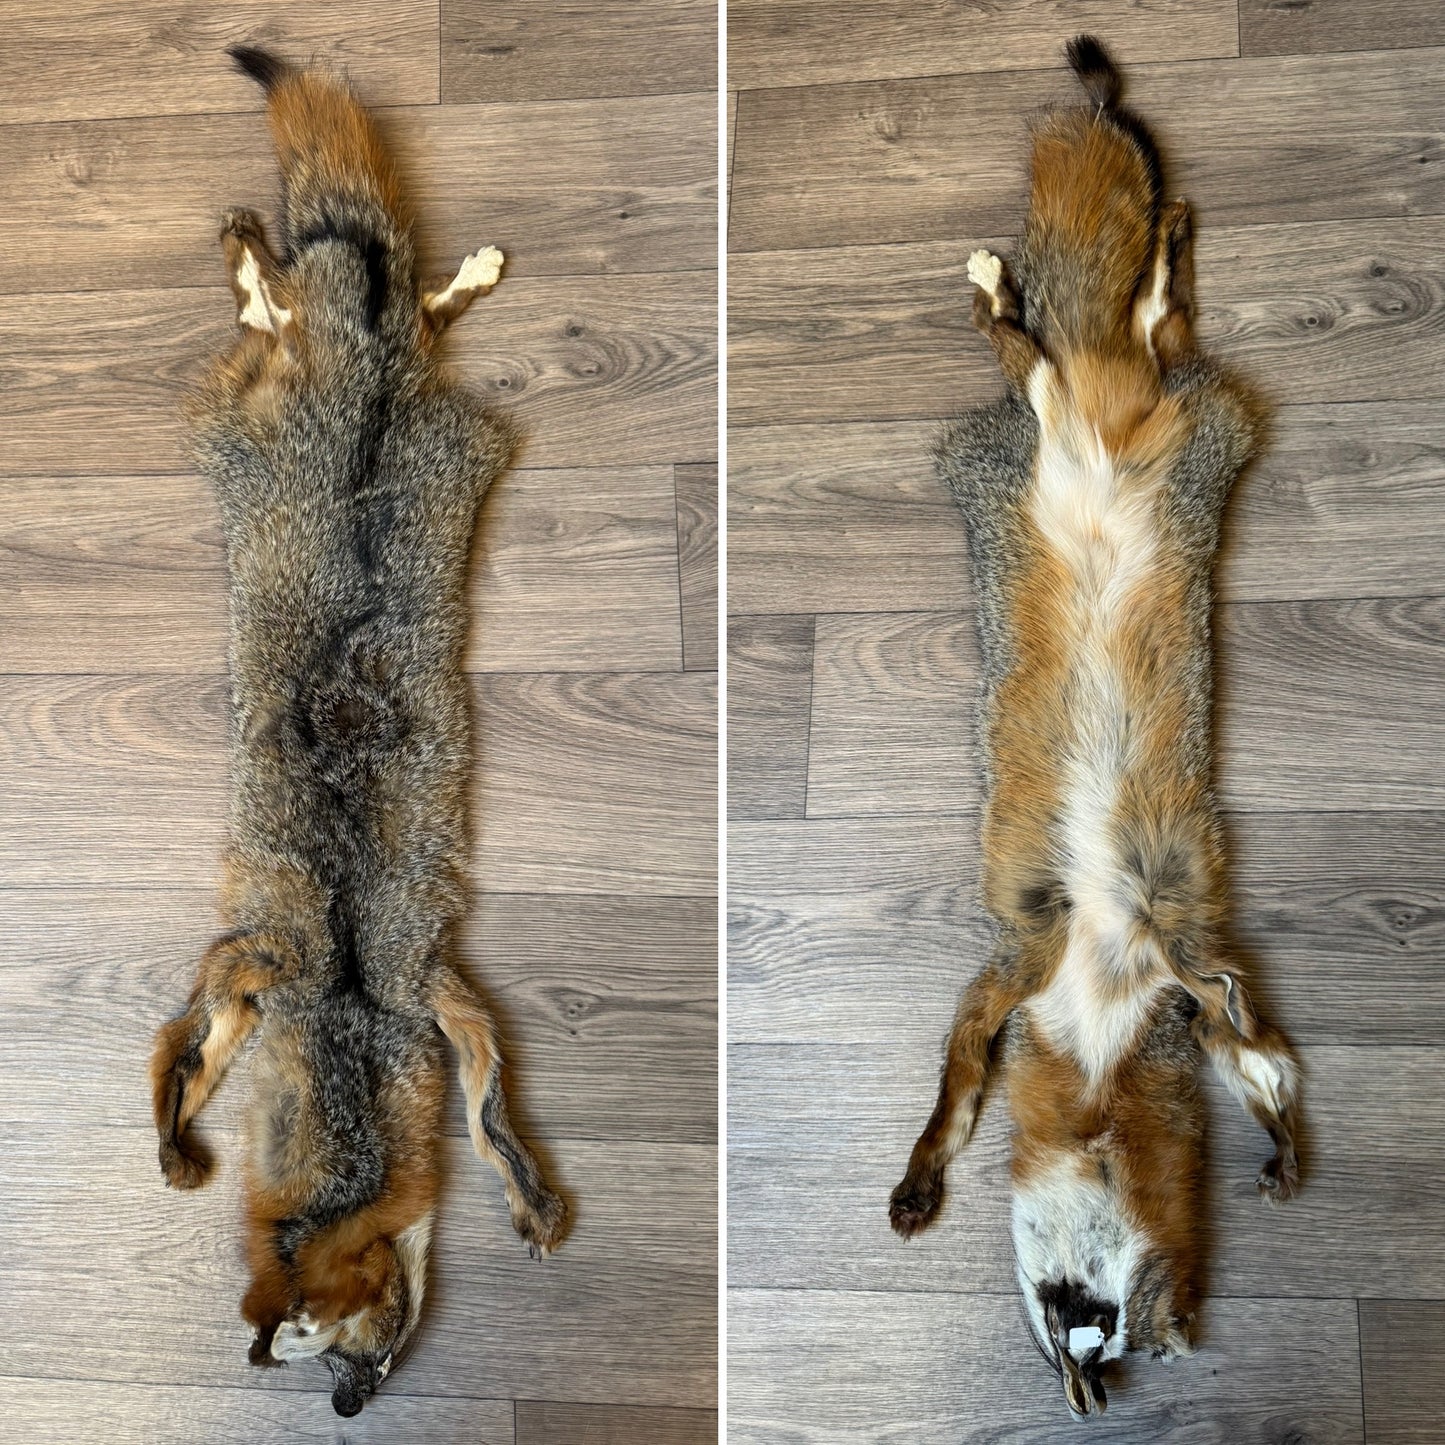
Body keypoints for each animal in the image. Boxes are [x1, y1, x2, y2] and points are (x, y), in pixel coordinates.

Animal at [148, 47, 566, 1417]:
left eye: (355, 1344)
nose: (347, 1408)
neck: (343, 1025)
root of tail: (360, 405)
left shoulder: (415, 988)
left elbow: (491, 1117)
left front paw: (527, 1194)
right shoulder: (294, 972)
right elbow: (188, 1052)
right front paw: (177, 1139)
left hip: (298, 394)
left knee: (325, 288)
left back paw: (314, 259)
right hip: (300, 397)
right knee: (355, 290)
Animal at [887, 36, 1303, 1418]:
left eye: (1104, 1327)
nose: (1086, 1382)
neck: (1102, 1017)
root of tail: (1099, 430)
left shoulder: (1183, 958)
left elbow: (1258, 1052)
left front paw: (1282, 1143)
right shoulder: (1022, 963)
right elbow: (953, 1089)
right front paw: (918, 1177)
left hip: (1145, 406)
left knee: (1137, 324)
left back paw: (1131, 248)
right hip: (1059, 414)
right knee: (1059, 343)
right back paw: (1011, 283)